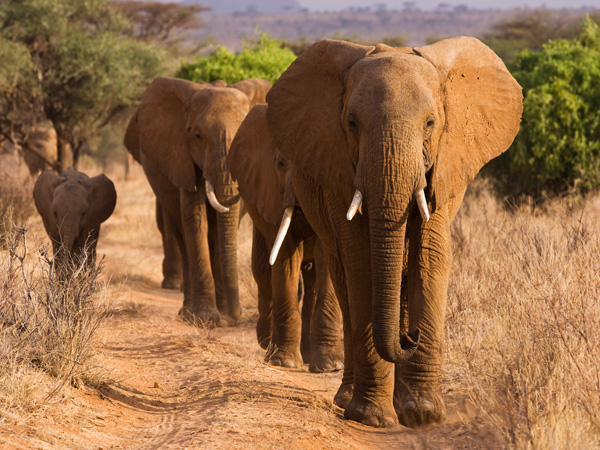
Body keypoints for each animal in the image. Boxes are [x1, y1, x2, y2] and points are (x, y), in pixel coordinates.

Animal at [124, 75, 272, 326]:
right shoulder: (182, 159)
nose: (237, 315)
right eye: (197, 136)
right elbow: (196, 222)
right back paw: (187, 313)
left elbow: (222, 227)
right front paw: (206, 318)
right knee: (181, 235)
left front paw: (223, 318)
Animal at [229, 104, 342, 372]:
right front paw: (284, 362)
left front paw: (331, 367)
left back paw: (308, 355)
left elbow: (326, 256)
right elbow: (284, 258)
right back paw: (267, 343)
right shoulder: (269, 191)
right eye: (280, 164)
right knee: (262, 270)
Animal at [264, 37, 524, 428]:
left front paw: (422, 415)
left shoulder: (443, 166)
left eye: (431, 123)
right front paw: (372, 418)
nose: (411, 336)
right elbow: (361, 263)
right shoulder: (340, 168)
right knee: (344, 282)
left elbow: (430, 258)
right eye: (352, 123)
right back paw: (348, 400)